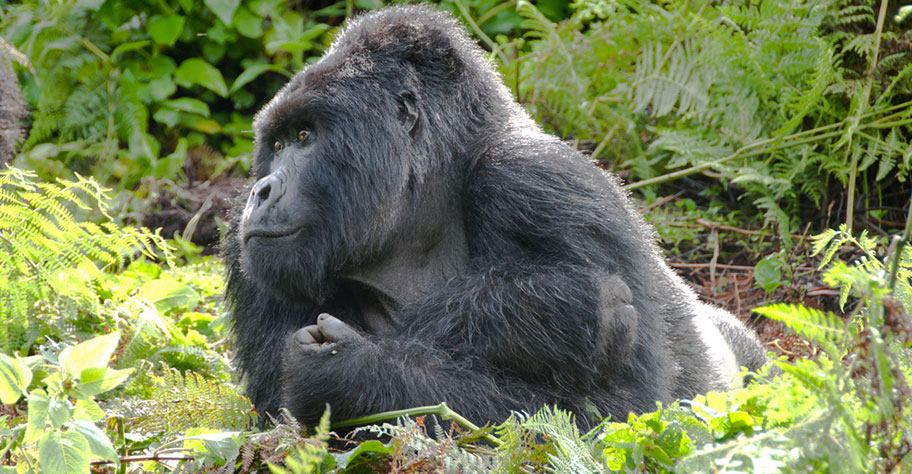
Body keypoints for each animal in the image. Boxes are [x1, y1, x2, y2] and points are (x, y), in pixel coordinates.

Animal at [224, 3, 764, 428]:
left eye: (304, 136)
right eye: (276, 144)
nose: (260, 191)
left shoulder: (541, 182)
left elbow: (624, 408)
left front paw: (347, 372)